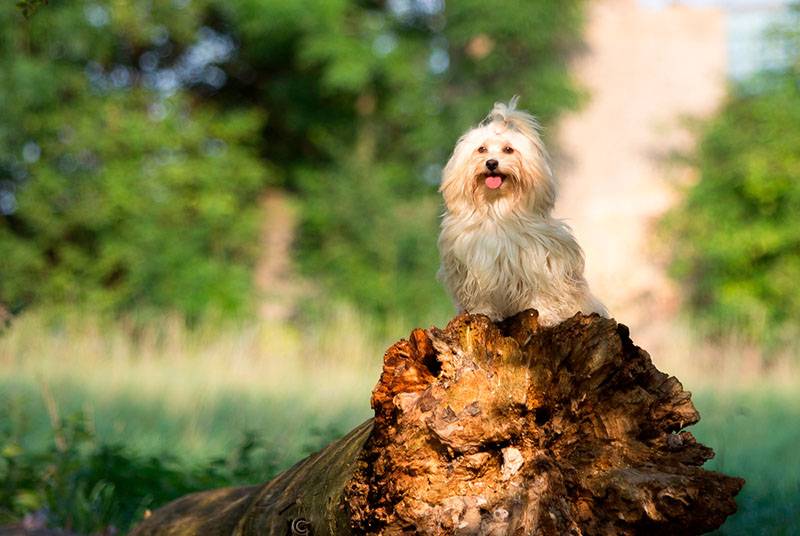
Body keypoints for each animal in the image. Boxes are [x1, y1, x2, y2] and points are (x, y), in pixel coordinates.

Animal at [438, 99, 608, 326]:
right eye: (481, 149)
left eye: (508, 149)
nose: (491, 163)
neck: (497, 210)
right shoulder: (474, 269)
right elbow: (481, 297)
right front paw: (483, 314)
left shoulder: (540, 264)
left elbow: (542, 292)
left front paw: (545, 316)